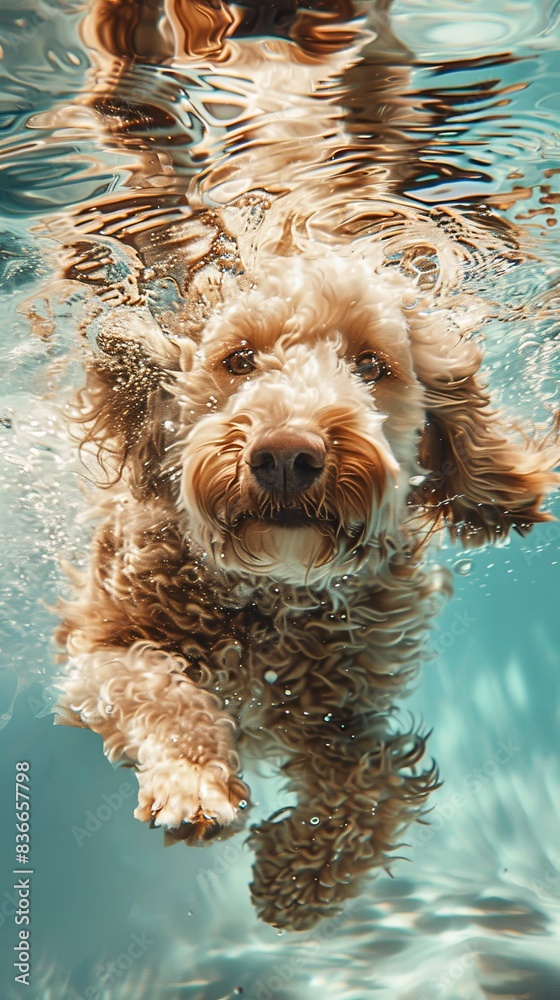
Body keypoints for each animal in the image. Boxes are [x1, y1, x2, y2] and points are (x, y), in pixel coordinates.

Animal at [48, 0, 560, 928]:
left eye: (373, 365)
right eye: (239, 359)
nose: (287, 454)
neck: (270, 599)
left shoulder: (347, 711)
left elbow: (372, 786)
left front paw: (297, 880)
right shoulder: (98, 647)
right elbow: (155, 686)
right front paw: (194, 783)